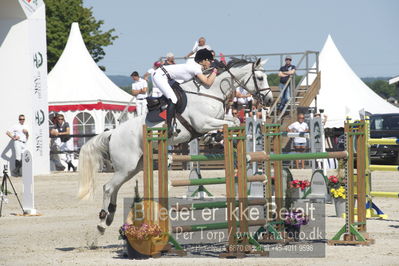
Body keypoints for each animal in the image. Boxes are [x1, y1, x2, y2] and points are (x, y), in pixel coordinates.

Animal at [77, 58, 274, 233]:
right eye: (260, 78)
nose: (270, 101)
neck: (210, 90)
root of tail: (113, 133)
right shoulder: (203, 123)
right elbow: (229, 124)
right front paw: (215, 138)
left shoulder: (215, 119)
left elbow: (233, 121)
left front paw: (217, 139)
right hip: (126, 166)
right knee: (108, 187)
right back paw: (102, 222)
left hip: (133, 168)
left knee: (115, 187)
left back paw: (110, 216)